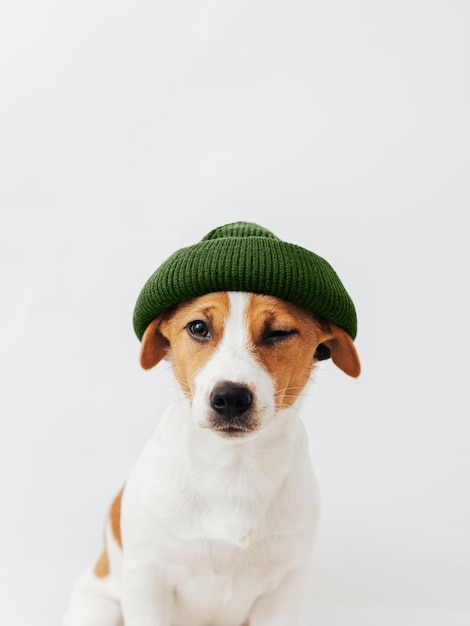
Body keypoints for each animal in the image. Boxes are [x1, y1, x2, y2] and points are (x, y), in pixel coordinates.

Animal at [63, 288, 360, 624]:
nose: (230, 397)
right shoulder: (147, 581)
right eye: (198, 328)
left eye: (279, 332)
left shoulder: (285, 588)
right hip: (100, 608)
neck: (233, 467)